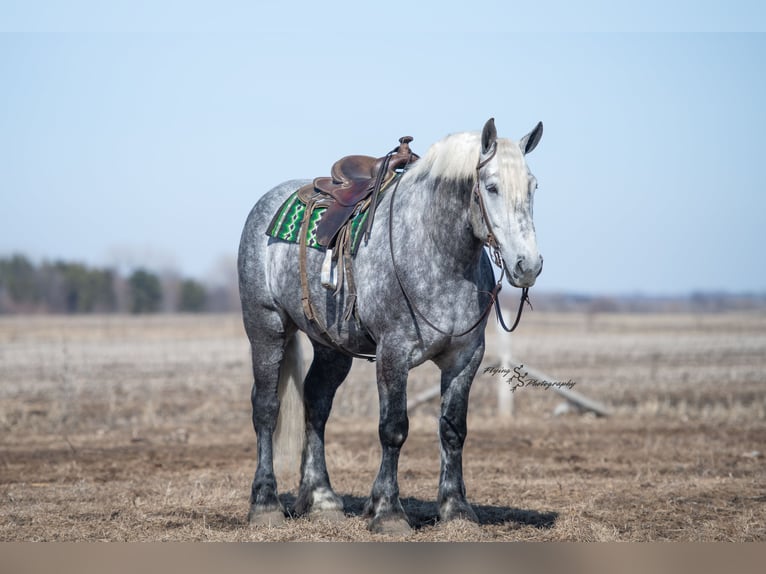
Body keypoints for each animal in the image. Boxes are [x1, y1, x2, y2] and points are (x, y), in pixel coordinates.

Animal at [237, 118, 544, 534]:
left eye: (532, 186)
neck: (435, 250)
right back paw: (265, 503)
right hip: (266, 328)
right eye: (492, 186)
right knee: (266, 408)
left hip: (331, 347)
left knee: (316, 403)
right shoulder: (393, 354)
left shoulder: (465, 357)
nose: (528, 265)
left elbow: (453, 429)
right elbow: (394, 428)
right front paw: (387, 510)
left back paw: (321, 497)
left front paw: (456, 508)